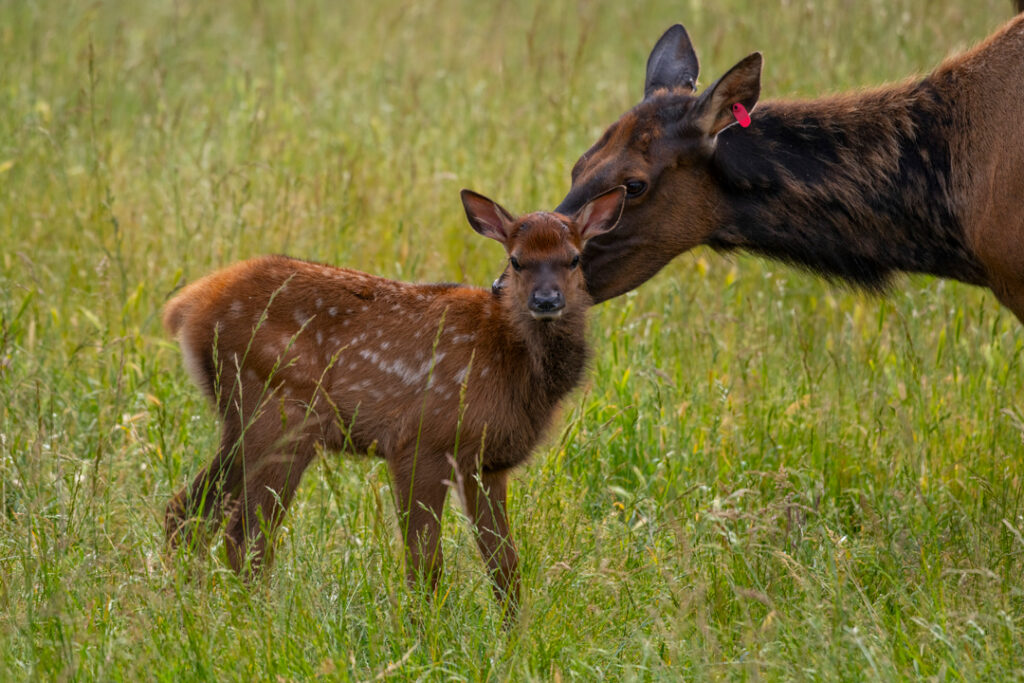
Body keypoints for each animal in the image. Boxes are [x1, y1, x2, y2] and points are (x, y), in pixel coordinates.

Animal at [162, 186, 626, 619]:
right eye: (516, 260)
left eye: (574, 259)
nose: (546, 301)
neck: (511, 362)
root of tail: (187, 306)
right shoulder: (420, 441)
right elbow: (425, 563)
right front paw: (427, 634)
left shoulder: (487, 464)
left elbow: (504, 565)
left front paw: (514, 636)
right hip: (280, 413)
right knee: (245, 534)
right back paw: (257, 620)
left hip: (248, 423)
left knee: (185, 511)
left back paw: (187, 602)